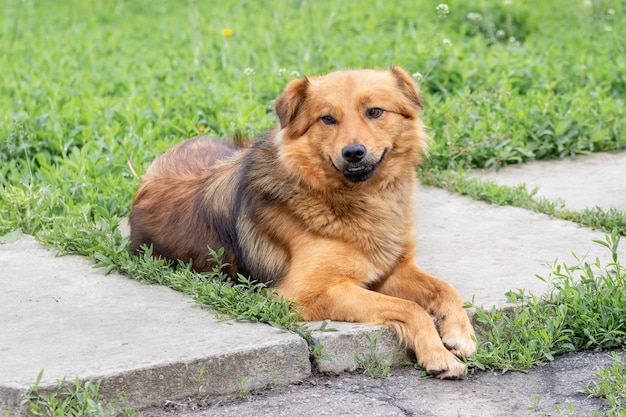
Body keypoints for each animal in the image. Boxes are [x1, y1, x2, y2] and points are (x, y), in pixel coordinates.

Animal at [129, 67, 476, 376]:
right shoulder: (305, 294)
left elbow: (446, 288)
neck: (354, 200)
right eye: (327, 118)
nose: (353, 152)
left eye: (375, 111)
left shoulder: (390, 270)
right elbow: (410, 308)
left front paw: (460, 333)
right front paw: (438, 355)